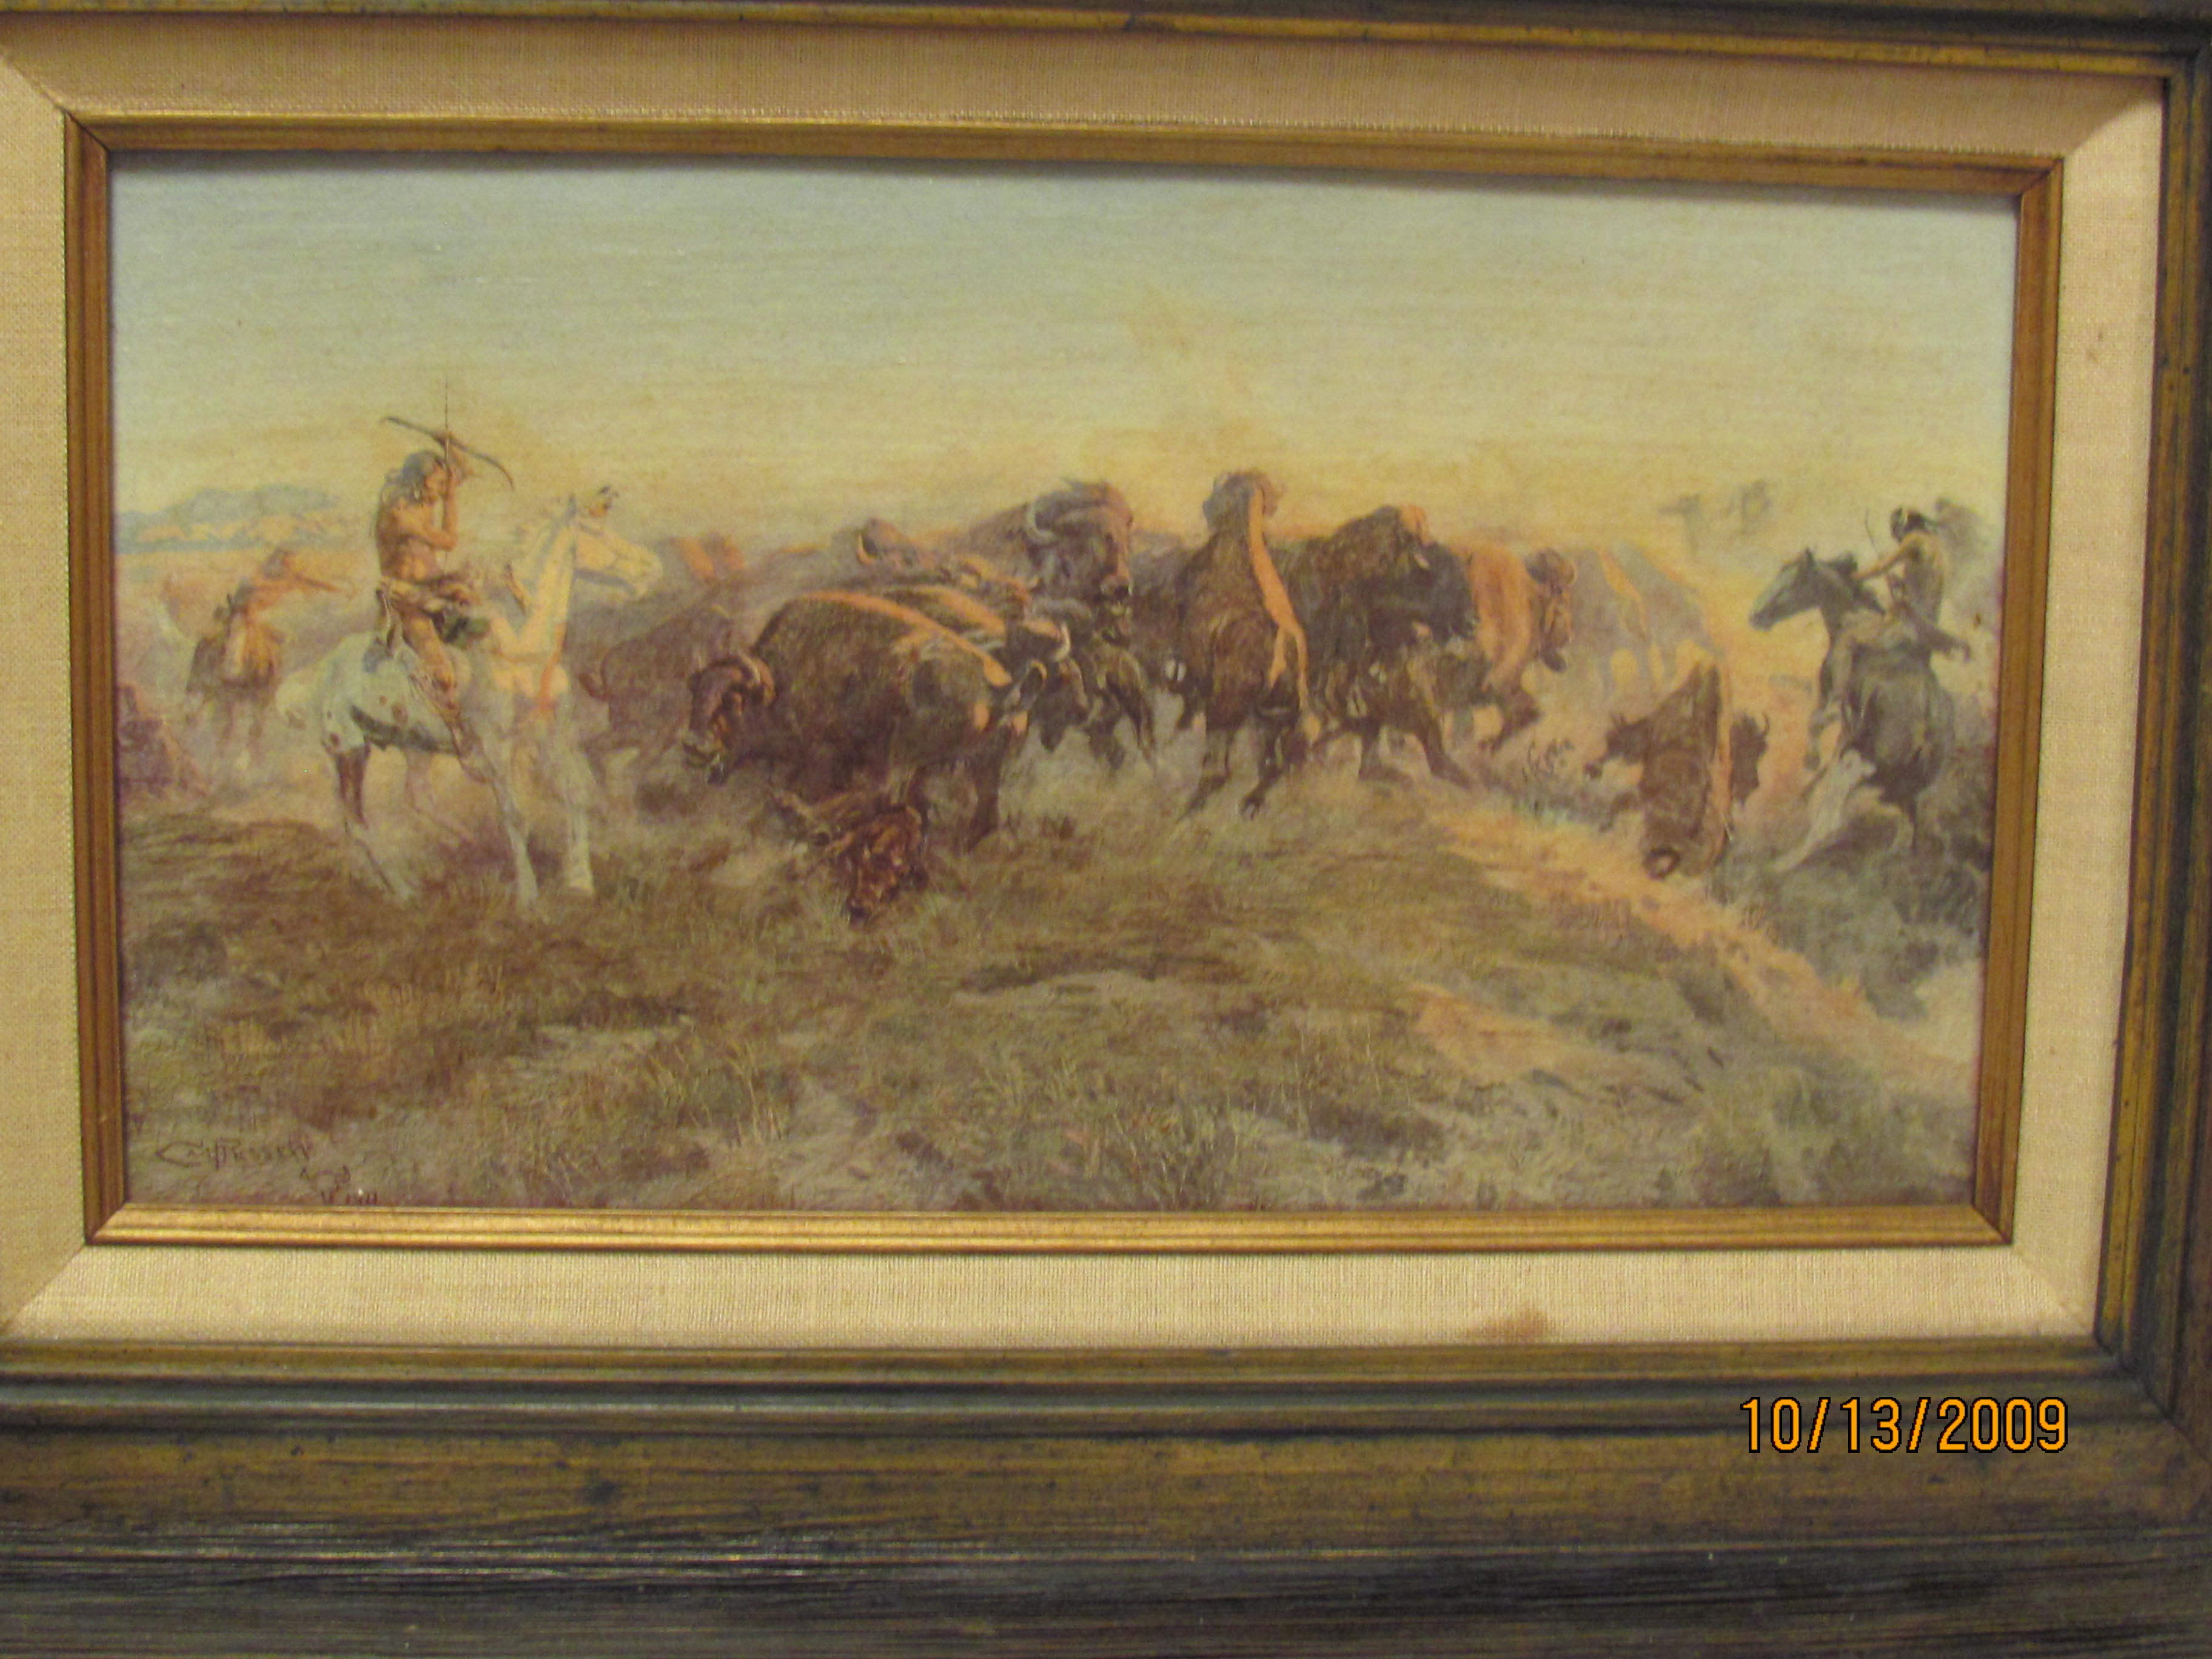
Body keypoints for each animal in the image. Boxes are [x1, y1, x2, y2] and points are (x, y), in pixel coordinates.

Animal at [306, 497, 661, 908]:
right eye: (597, 532)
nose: (652, 566)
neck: (520, 647)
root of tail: (316, 673)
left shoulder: (552, 735)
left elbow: (576, 794)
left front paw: (579, 881)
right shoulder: (497, 746)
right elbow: (515, 814)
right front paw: (528, 895)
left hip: (414, 744)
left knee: (418, 795)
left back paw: (465, 845)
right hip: (350, 752)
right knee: (357, 824)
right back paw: (405, 889)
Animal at [682, 591, 1051, 848]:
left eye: (732, 702)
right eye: (694, 696)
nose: (693, 747)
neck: (781, 680)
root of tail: (998, 689)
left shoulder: (825, 757)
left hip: (904, 748)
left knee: (884, 794)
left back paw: (800, 813)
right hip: (986, 765)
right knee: (984, 813)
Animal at [1750, 548, 1956, 867]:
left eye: (1794, 583)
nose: (1756, 616)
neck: (1855, 622)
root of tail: (1929, 715)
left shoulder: (1834, 695)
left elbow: (1817, 720)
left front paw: (1811, 760)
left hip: (1862, 763)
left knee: (1831, 821)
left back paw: (1783, 863)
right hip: (1912, 780)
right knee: (1916, 819)